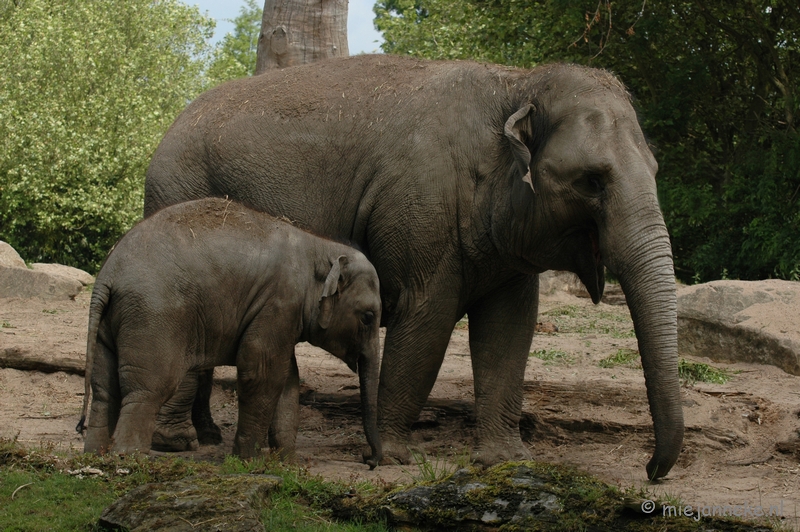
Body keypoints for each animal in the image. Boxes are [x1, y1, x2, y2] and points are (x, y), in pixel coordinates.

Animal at [76, 196, 382, 466]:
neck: (321, 246)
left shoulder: (280, 314)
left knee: (104, 390)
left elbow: (287, 379)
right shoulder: (278, 302)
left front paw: (288, 464)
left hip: (111, 322)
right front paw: (249, 461)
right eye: (368, 317)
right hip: (151, 317)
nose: (368, 459)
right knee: (147, 389)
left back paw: (95, 456)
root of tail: (107, 276)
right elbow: (262, 373)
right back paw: (128, 460)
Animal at [144, 54, 680, 478]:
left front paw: (508, 461)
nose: (652, 471)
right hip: (178, 190)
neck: (516, 82)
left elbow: (510, 329)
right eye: (592, 180)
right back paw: (176, 443)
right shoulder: (422, 210)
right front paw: (395, 458)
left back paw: (206, 435)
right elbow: (428, 319)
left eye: (657, 171)